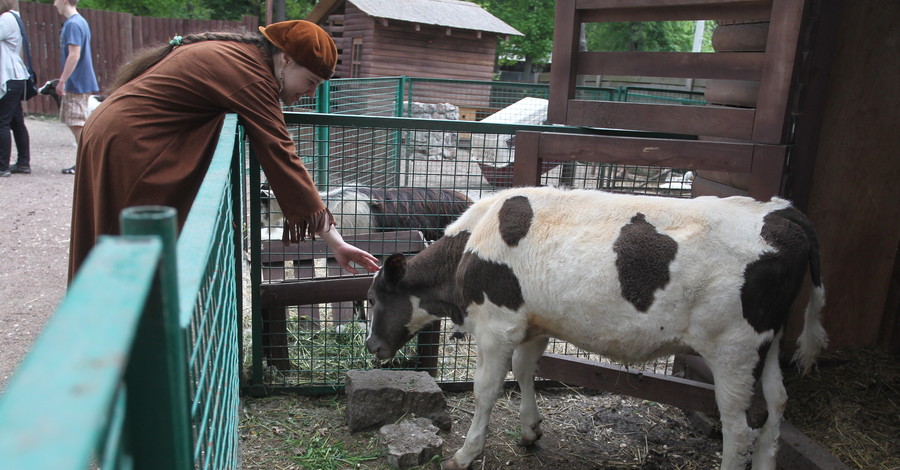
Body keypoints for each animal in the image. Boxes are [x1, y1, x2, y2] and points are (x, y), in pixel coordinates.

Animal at [364, 185, 824, 470]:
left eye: (372, 298)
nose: (370, 347)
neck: (472, 243)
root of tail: (783, 212)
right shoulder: (534, 322)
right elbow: (526, 371)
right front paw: (530, 430)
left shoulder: (496, 325)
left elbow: (486, 390)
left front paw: (465, 454)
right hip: (767, 345)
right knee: (776, 405)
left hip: (734, 349)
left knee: (740, 429)